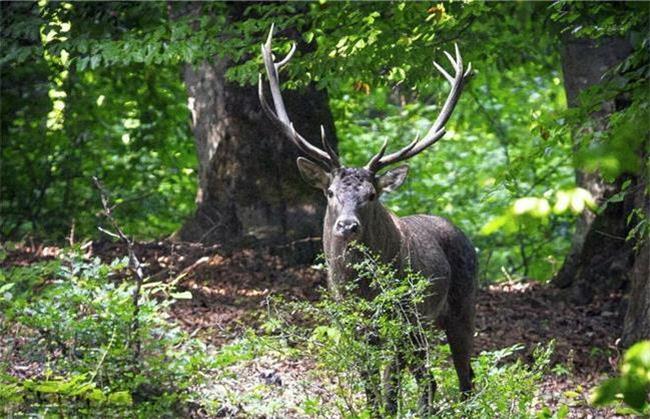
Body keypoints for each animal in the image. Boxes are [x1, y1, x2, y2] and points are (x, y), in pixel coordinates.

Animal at [256, 27, 476, 416]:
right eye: (330, 192)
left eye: (372, 195)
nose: (347, 226)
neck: (361, 288)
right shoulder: (352, 321)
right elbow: (370, 382)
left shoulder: (401, 316)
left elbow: (389, 384)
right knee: (430, 379)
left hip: (459, 307)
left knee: (463, 378)